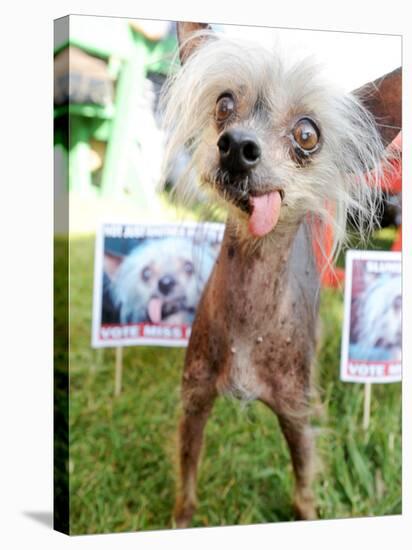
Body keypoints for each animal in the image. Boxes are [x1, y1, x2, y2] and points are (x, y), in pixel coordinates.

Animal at [162, 22, 402, 532]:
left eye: (307, 135)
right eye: (224, 104)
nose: (236, 145)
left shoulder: (296, 416)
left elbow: (304, 484)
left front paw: (307, 514)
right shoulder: (194, 401)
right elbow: (187, 474)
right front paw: (180, 519)